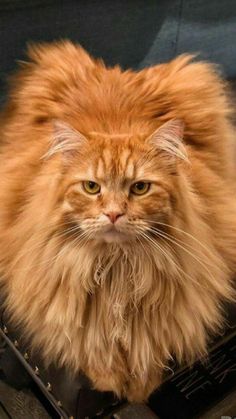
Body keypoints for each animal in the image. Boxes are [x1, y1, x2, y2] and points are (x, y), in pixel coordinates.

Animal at [0, 41, 236, 402]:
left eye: (139, 188)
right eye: (91, 187)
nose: (113, 214)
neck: (118, 270)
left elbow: (151, 344)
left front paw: (141, 385)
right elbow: (89, 345)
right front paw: (110, 378)